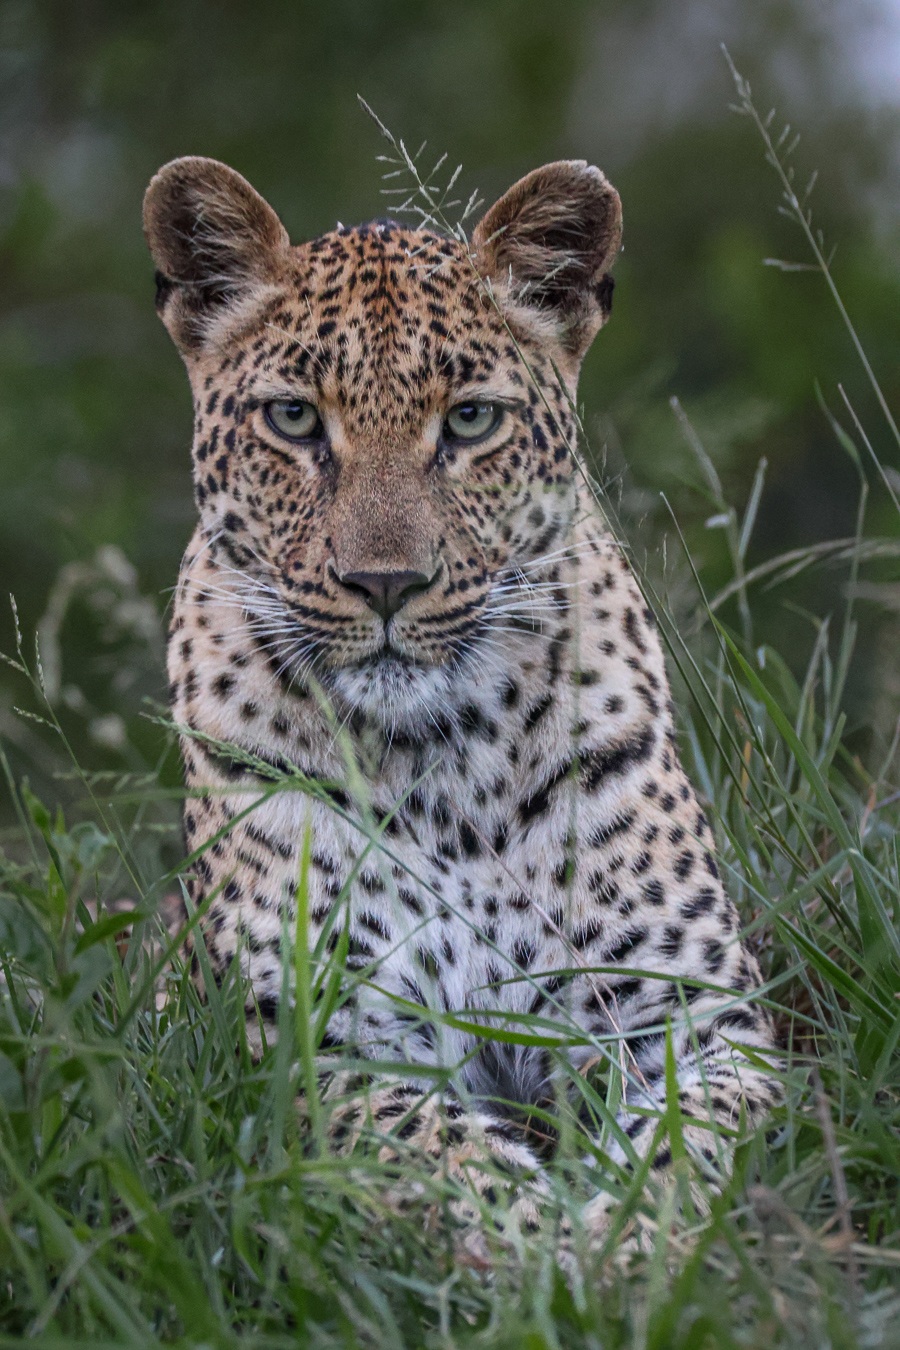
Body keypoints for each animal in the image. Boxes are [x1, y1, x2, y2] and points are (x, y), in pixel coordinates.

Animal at [144, 153, 779, 1241]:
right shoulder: (310, 1053)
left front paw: (631, 1243)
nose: (386, 582)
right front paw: (552, 1249)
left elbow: (685, 1143)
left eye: (471, 419)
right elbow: (441, 1158)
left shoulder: (697, 1021)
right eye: (294, 418)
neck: (445, 769)